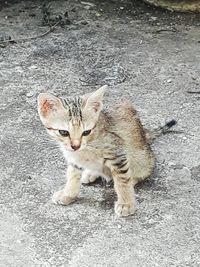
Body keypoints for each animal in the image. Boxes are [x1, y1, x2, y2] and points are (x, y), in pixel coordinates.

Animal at [37, 86, 154, 218]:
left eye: (86, 132)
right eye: (64, 132)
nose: (76, 146)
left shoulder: (117, 154)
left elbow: (122, 180)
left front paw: (126, 204)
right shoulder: (73, 158)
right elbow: (72, 175)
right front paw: (68, 194)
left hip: (142, 159)